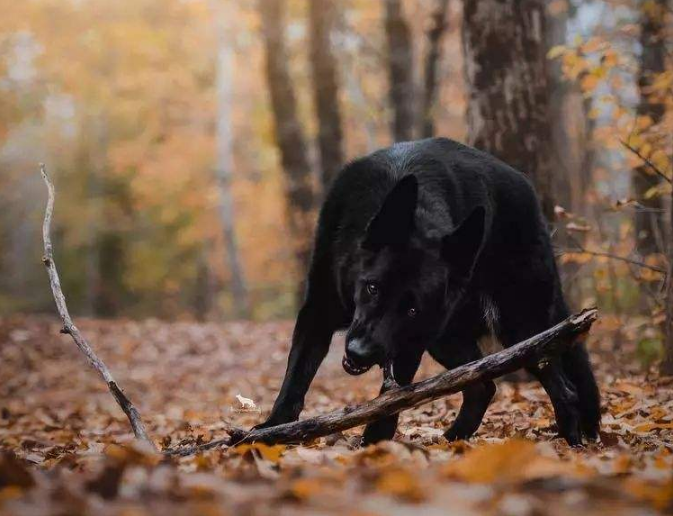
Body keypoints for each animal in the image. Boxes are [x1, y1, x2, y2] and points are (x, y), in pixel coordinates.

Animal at [258, 138, 600, 448]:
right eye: (372, 287)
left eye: (411, 310)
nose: (359, 353)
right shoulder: (316, 313)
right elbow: (294, 380)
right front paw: (272, 431)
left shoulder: (409, 340)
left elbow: (390, 399)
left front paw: (375, 446)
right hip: (445, 339)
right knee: (483, 386)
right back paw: (453, 441)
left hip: (518, 328)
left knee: (562, 388)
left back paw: (571, 444)